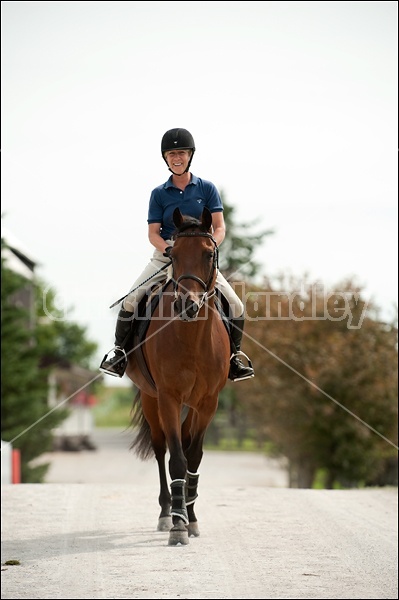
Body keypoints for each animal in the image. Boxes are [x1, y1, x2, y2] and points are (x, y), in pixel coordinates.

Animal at [125, 205, 231, 544]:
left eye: (209, 253)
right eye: (173, 254)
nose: (188, 305)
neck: (192, 338)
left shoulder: (208, 403)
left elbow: (193, 457)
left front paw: (191, 517)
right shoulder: (169, 398)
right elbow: (177, 460)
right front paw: (178, 525)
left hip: (191, 405)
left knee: (183, 444)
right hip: (151, 399)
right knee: (161, 450)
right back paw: (165, 512)